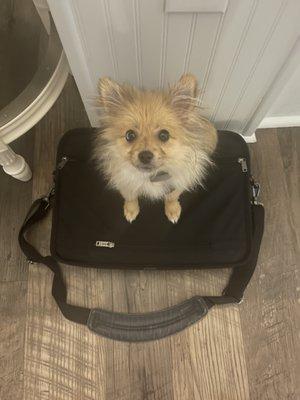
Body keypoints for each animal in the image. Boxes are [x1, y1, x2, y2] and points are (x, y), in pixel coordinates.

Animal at [92, 74, 217, 223]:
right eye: (130, 135)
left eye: (164, 135)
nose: (145, 155)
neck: (150, 176)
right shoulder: (124, 182)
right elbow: (130, 197)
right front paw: (131, 210)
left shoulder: (179, 181)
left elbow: (172, 196)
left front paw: (172, 209)